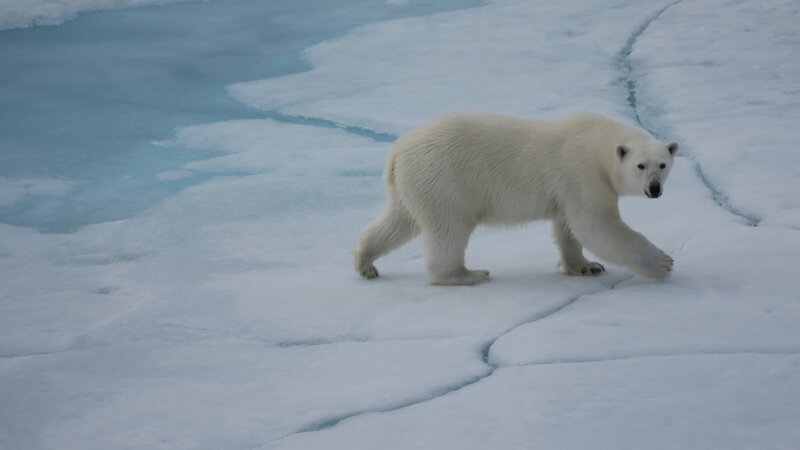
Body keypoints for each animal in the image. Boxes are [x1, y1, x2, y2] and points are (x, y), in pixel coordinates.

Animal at [354, 110, 680, 284]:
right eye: (641, 166)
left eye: (663, 165)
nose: (654, 189)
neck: (597, 143)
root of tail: (397, 152)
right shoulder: (583, 174)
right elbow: (597, 225)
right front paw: (663, 263)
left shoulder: (567, 188)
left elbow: (568, 227)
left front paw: (585, 266)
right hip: (444, 181)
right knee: (449, 228)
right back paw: (467, 274)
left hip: (413, 185)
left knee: (398, 221)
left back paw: (364, 262)